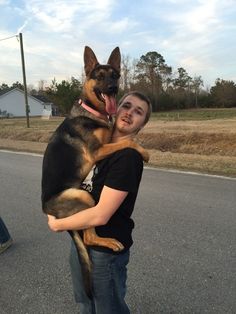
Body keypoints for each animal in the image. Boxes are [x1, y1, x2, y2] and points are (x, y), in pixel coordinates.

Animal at [41, 46, 148, 296]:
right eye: (99, 77)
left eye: (115, 76)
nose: (113, 88)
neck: (92, 111)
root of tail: (48, 210)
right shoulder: (97, 151)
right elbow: (128, 142)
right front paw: (145, 152)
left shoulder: (106, 144)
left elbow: (126, 140)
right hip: (83, 196)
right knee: (89, 238)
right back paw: (109, 241)